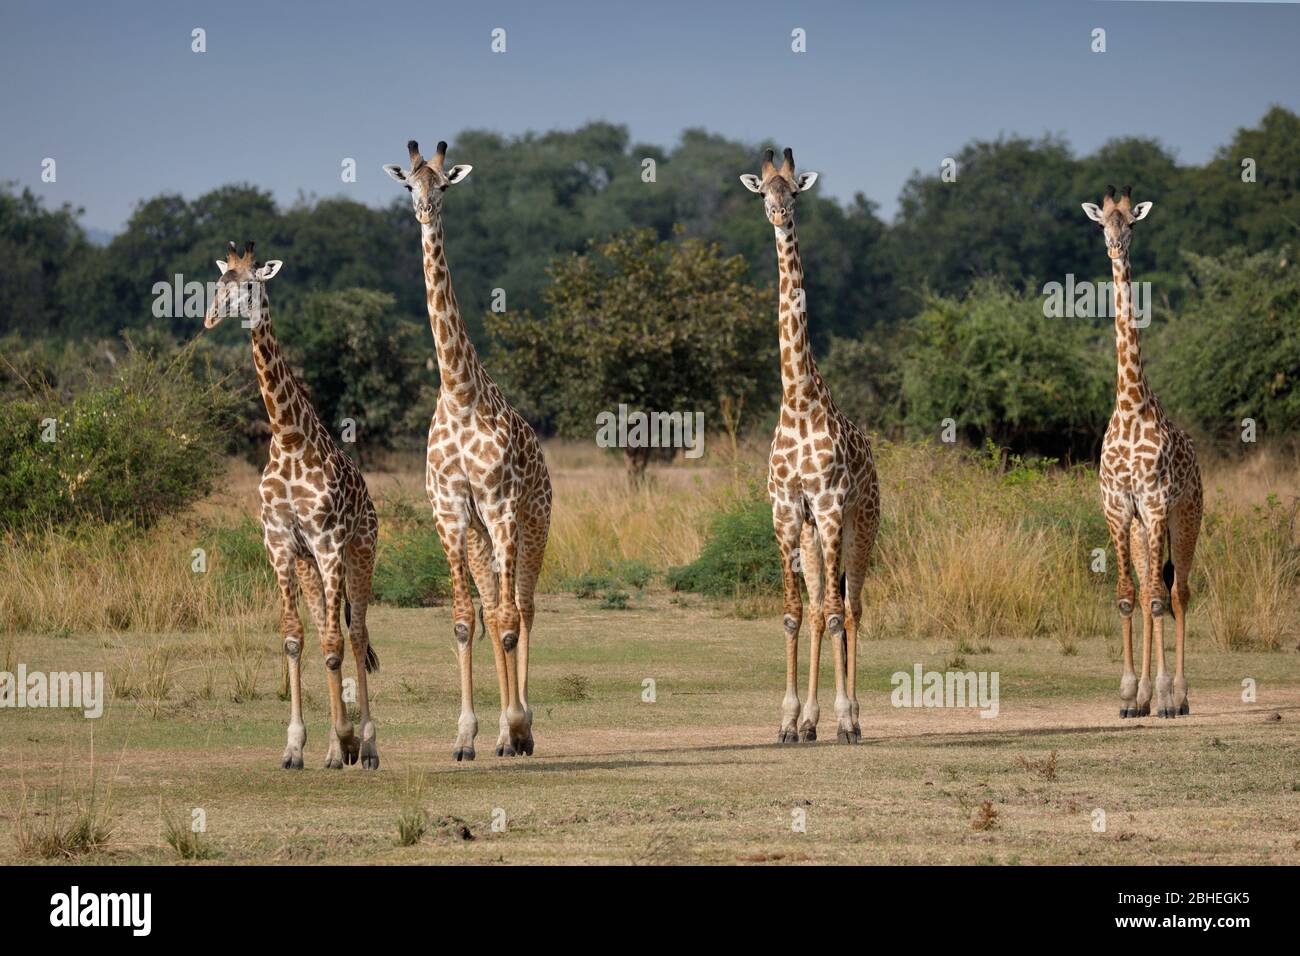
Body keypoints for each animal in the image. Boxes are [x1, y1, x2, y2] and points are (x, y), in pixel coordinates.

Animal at [204, 241, 380, 769]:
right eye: (218, 283)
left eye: (250, 284)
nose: (211, 318)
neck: (287, 438)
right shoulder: (281, 545)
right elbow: (294, 638)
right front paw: (296, 747)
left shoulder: (327, 542)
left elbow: (336, 641)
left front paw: (345, 741)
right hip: (309, 566)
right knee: (328, 630)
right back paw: (337, 748)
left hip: (358, 553)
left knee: (355, 635)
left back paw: (366, 746)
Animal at [384, 140, 552, 760]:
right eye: (409, 185)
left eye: (444, 185)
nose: (425, 212)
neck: (458, 394)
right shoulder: (450, 510)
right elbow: (463, 621)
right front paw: (466, 736)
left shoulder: (500, 506)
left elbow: (506, 621)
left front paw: (518, 726)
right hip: (482, 535)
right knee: (492, 605)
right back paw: (503, 731)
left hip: (531, 522)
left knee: (521, 609)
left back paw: (521, 727)